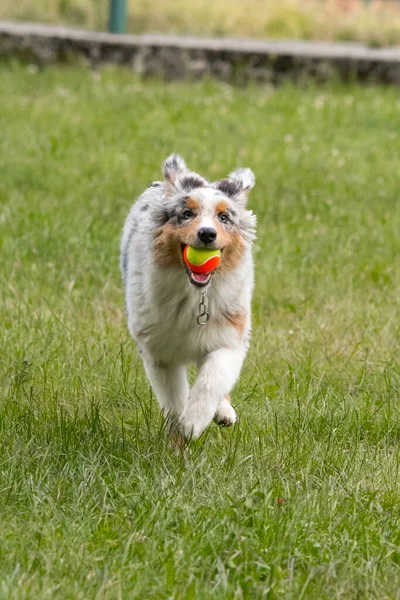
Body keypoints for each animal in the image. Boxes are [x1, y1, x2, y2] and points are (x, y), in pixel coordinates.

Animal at [120, 155, 256, 440]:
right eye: (187, 214)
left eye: (224, 217)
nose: (207, 233)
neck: (195, 293)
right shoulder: (158, 350)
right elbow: (173, 398)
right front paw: (180, 430)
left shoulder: (229, 337)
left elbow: (211, 380)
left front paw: (194, 421)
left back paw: (224, 412)